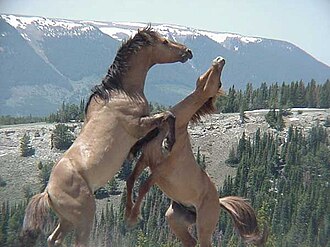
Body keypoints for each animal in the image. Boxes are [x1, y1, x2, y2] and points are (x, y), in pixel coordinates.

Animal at [20, 26, 192, 246]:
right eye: (164, 42)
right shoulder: (137, 126)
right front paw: (169, 142)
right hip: (85, 217)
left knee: (53, 239)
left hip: (67, 220)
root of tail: (48, 192)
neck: (122, 93)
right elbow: (168, 116)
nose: (188, 52)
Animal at [125, 57, 266, 247]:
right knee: (190, 242)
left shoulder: (161, 170)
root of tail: (218, 202)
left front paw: (133, 218)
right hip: (175, 218)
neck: (177, 129)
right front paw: (128, 213)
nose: (220, 60)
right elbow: (131, 180)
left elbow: (143, 187)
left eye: (218, 82)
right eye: (208, 76)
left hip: (204, 226)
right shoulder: (146, 159)